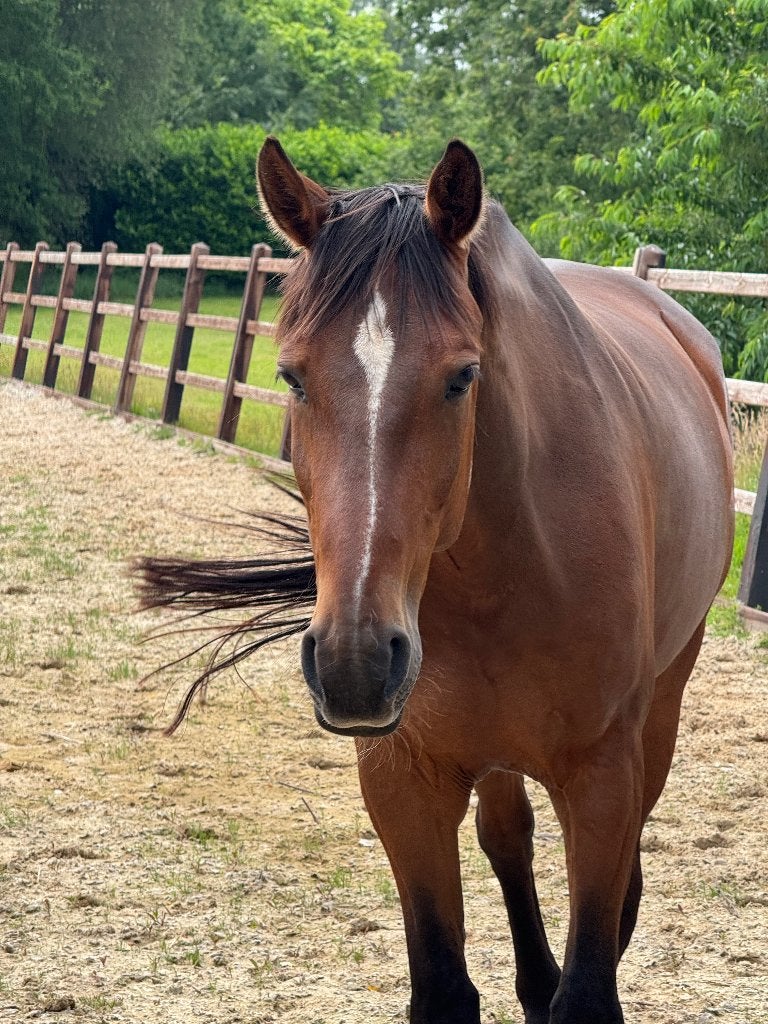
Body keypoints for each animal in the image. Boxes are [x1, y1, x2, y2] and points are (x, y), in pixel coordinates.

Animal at [138, 138, 734, 1023]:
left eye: (461, 377)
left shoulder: (601, 782)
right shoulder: (404, 785)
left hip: (664, 701)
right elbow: (446, 984)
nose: (354, 662)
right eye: (291, 377)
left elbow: (591, 977)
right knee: (507, 834)